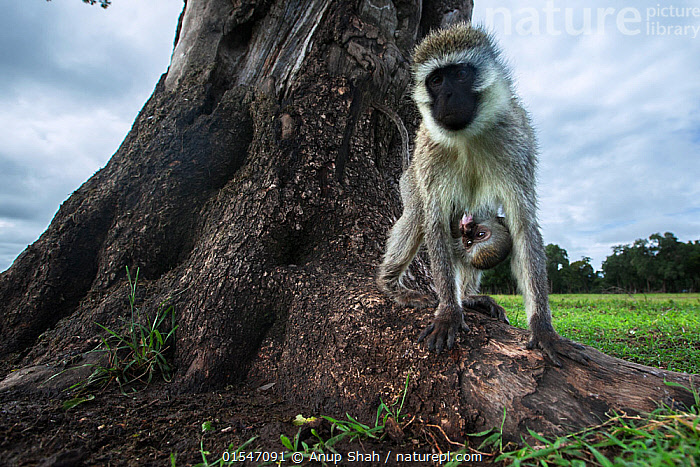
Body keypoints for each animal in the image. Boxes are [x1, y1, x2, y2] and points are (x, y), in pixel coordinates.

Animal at [376, 23, 589, 365]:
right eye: (436, 80)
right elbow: (434, 221)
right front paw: (449, 312)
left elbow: (522, 223)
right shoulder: (430, 156)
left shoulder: (517, 141)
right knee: (418, 213)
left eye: (461, 74)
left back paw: (469, 297)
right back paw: (389, 285)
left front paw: (543, 328)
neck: (467, 136)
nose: (448, 96)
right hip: (411, 178)